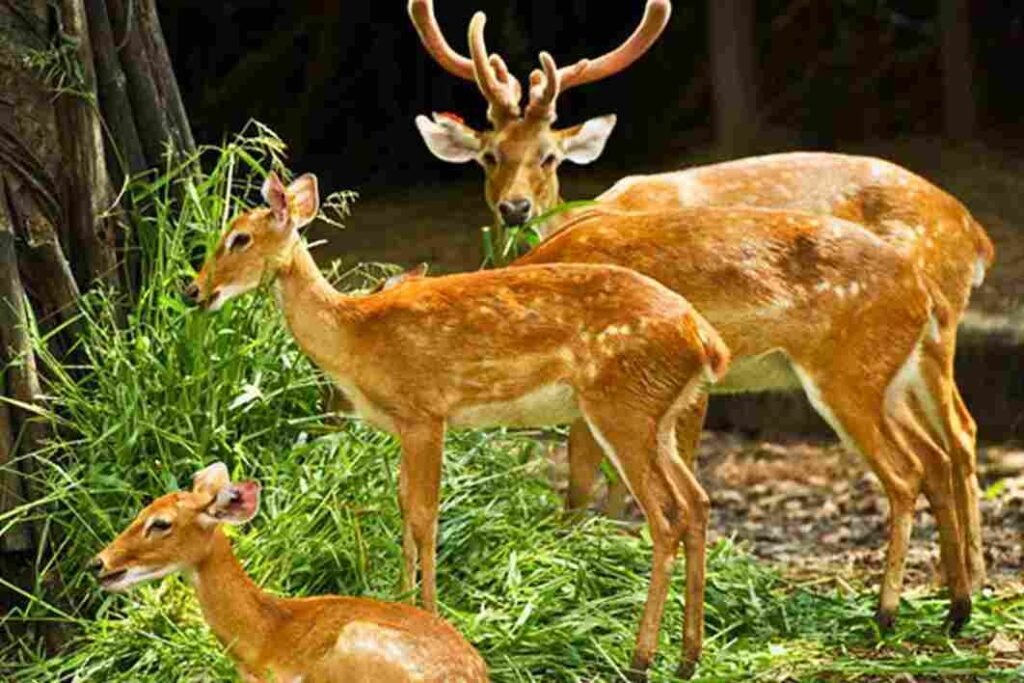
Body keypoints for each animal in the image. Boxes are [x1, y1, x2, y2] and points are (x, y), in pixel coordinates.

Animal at [186, 171, 732, 679]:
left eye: (239, 237)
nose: (194, 290)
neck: (353, 335)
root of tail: (706, 340)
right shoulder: (406, 425)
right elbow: (404, 506)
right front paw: (402, 600)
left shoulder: (426, 413)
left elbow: (425, 515)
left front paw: (429, 610)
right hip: (659, 417)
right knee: (697, 502)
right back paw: (688, 657)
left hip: (622, 409)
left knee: (666, 517)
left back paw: (641, 659)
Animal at [409, 0, 993, 591]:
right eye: (489, 155)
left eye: (549, 156)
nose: (515, 209)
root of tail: (974, 235)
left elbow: (606, 476)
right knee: (940, 449)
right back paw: (957, 583)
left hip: (928, 341)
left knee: (958, 436)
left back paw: (961, 580)